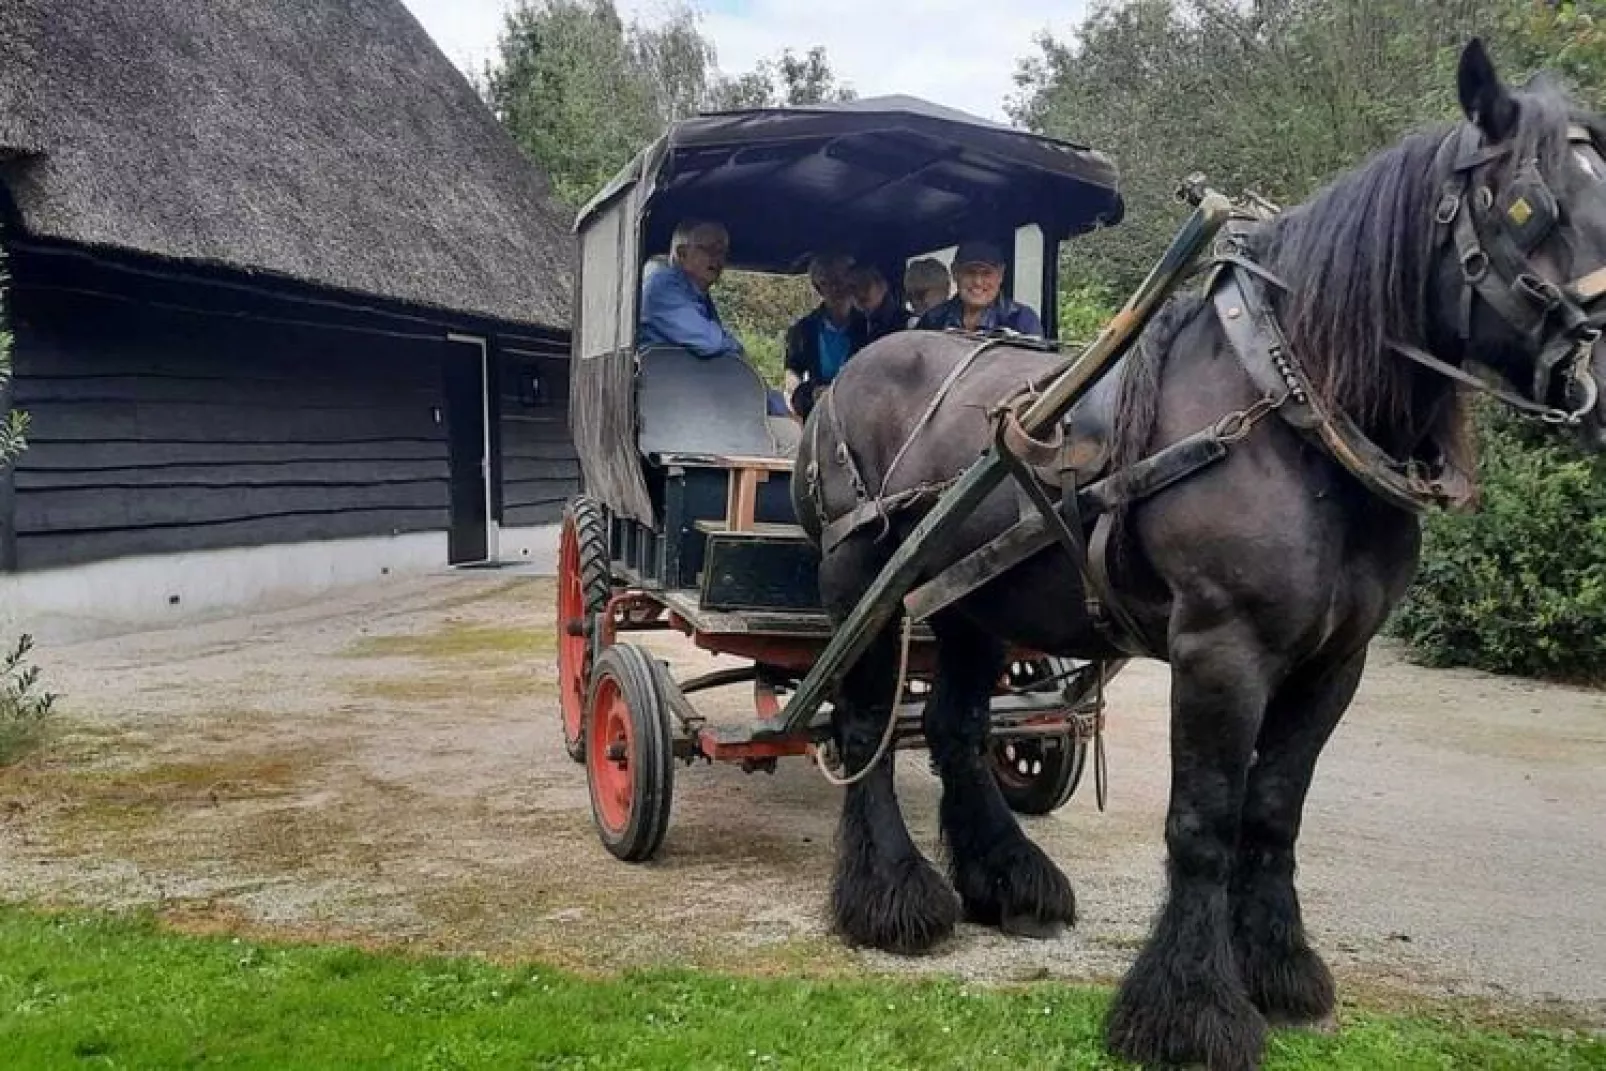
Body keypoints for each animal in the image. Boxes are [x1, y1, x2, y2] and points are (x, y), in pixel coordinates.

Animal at [790, 39, 1606, 1071]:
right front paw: (1191, 1009)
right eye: (1529, 203)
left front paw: (1280, 968)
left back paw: (1008, 878)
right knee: (862, 729)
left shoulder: (1335, 662)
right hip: (863, 587)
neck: (1290, 415)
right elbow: (1205, 823)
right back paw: (891, 899)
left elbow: (1273, 811)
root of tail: (851, 375)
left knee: (956, 730)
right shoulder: (1223, 648)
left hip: (972, 603)